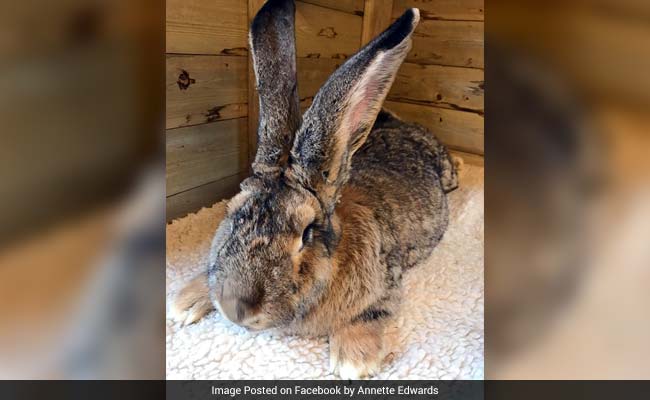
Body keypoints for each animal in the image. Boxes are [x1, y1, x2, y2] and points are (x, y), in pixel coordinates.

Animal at [170, 0, 459, 379]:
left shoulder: (389, 280)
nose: (236, 309)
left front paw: (353, 361)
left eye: (307, 233)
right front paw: (184, 302)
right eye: (231, 213)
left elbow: (373, 312)